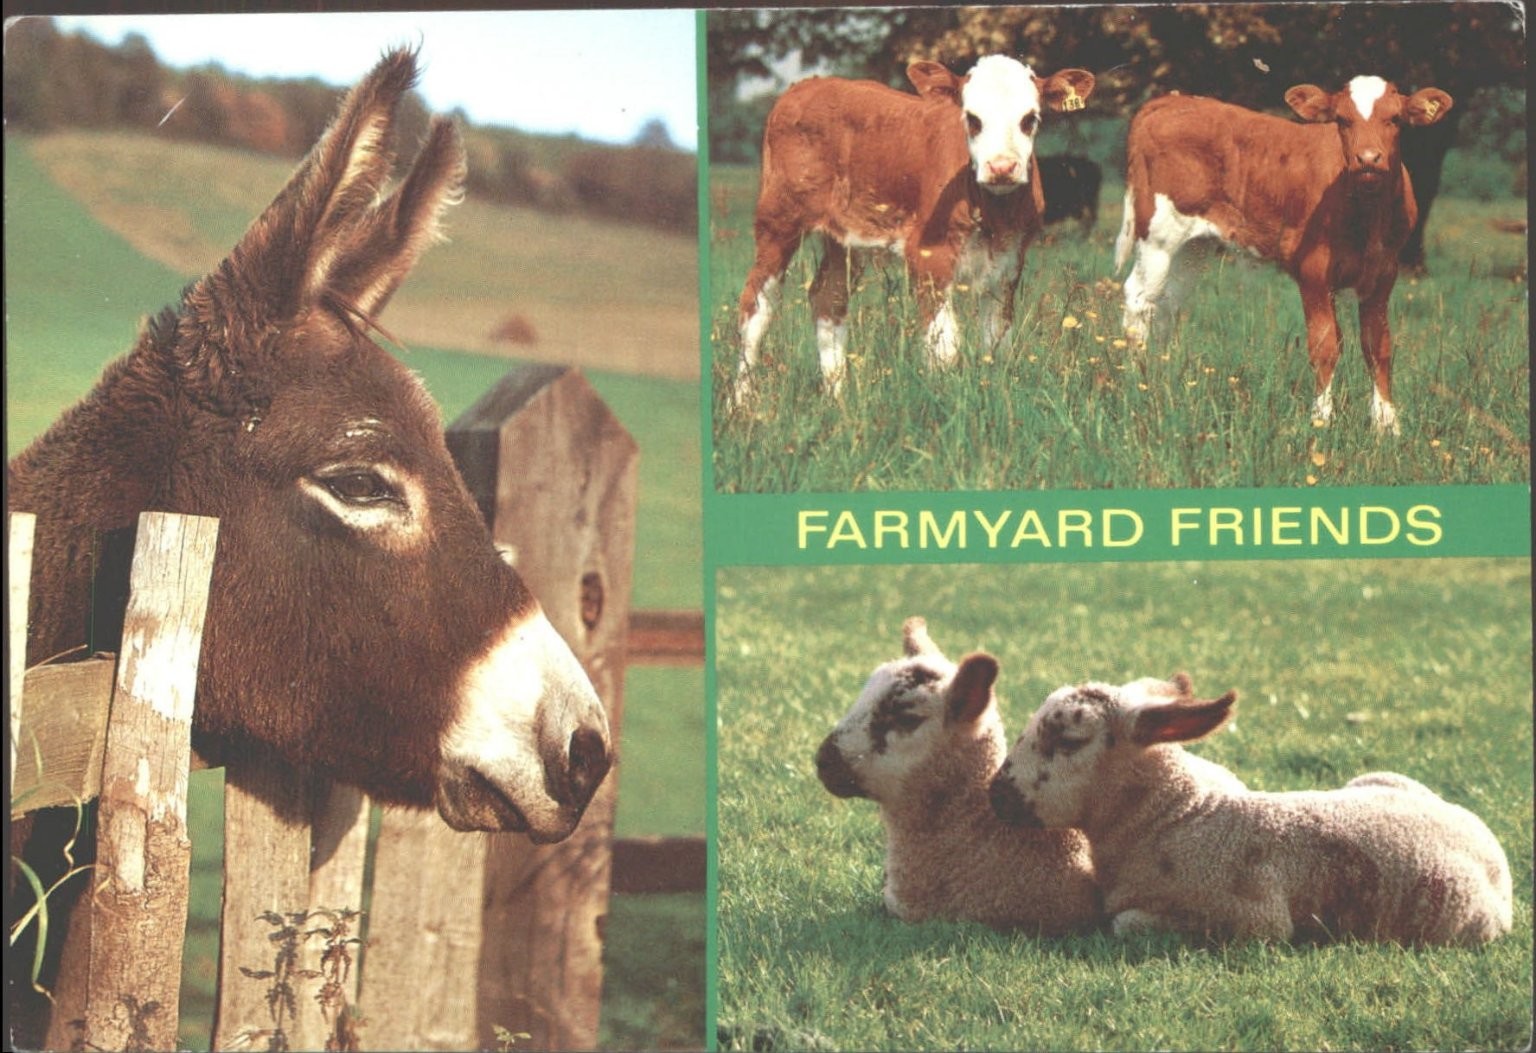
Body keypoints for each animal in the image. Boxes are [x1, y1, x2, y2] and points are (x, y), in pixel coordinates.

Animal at [732, 55, 1096, 403]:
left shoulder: (1010, 260)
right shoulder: (928, 254)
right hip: (778, 220)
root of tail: (807, 85)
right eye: (972, 118)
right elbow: (945, 348)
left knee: (828, 299)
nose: (1002, 167)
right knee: (756, 306)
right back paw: (741, 403)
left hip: (844, 238)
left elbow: (997, 344)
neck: (993, 211)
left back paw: (838, 399)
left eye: (1030, 118)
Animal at [989, 673, 1514, 945]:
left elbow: (1123, 923)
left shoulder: (1253, 921)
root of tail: (1493, 854)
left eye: (1068, 740)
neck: (1171, 818)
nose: (996, 794)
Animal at [1114, 77, 1453, 434]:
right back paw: (1138, 385)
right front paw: (1321, 418)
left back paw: (1160, 380)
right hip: (1158, 235)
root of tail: (1170, 101)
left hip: (1192, 247)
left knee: (1166, 305)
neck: (1367, 216)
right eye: (1342, 119)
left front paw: (1387, 425)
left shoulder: (1384, 273)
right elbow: (1324, 345)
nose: (1368, 158)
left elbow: (1378, 346)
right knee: (1139, 302)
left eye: (1395, 119)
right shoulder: (1314, 271)